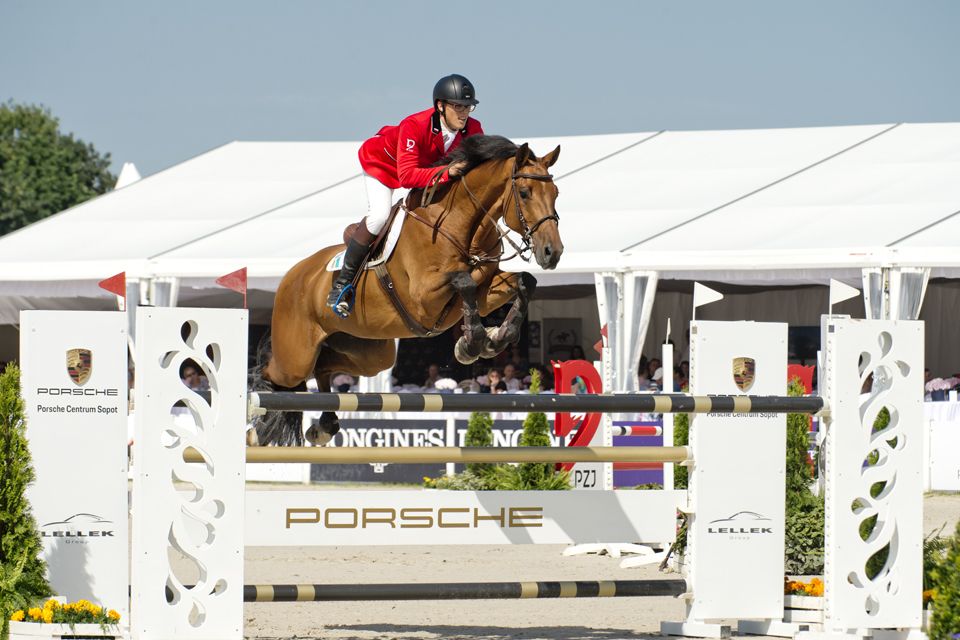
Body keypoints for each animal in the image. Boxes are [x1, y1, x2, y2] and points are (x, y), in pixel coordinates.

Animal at [250, 135, 563, 446]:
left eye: (555, 193)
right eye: (524, 192)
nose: (553, 252)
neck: (461, 226)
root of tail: (293, 275)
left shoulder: (484, 289)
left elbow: (524, 282)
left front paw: (495, 338)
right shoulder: (424, 298)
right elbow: (465, 281)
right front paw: (472, 343)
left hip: (369, 353)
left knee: (324, 366)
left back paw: (324, 425)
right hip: (296, 356)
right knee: (275, 375)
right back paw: (257, 424)